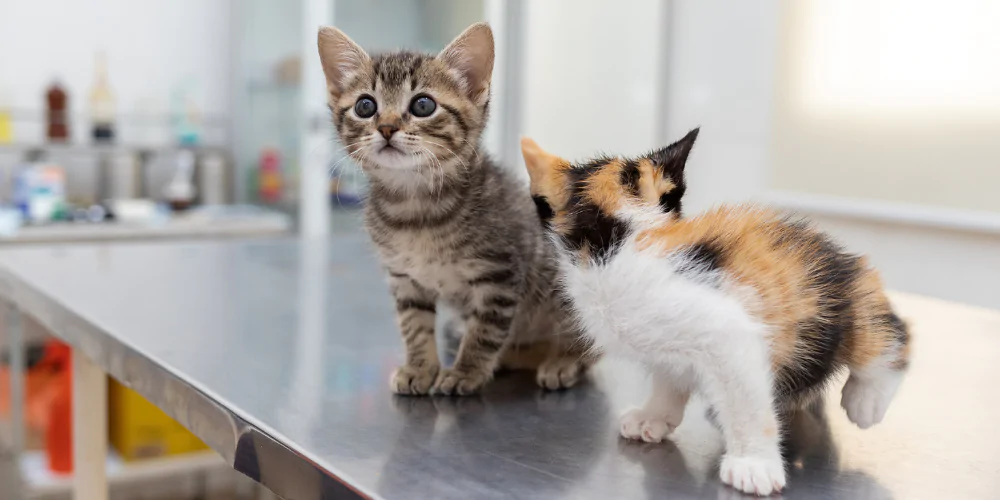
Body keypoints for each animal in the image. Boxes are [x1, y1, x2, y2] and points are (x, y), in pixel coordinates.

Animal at [316, 25, 592, 396]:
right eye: (365, 106)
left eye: (423, 105)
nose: (386, 127)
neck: (416, 207)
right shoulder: (404, 279)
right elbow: (414, 325)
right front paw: (420, 367)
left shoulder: (499, 276)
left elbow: (484, 332)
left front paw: (465, 371)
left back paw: (563, 361)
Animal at [524, 130, 916, 496]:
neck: (624, 239)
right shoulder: (668, 342)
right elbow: (669, 375)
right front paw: (654, 416)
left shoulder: (728, 333)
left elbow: (747, 404)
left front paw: (753, 464)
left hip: (850, 306)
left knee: (890, 337)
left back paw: (866, 400)